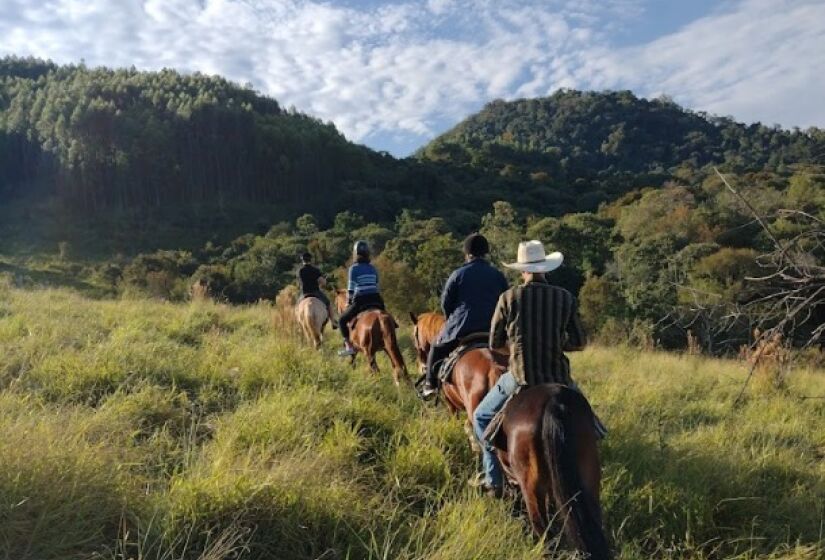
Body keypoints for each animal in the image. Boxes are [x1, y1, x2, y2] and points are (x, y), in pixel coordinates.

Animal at [408, 310, 608, 556]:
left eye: (415, 335)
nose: (420, 366)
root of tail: (554, 404)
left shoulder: (452, 406)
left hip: (533, 488)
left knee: (544, 531)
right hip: (587, 478)